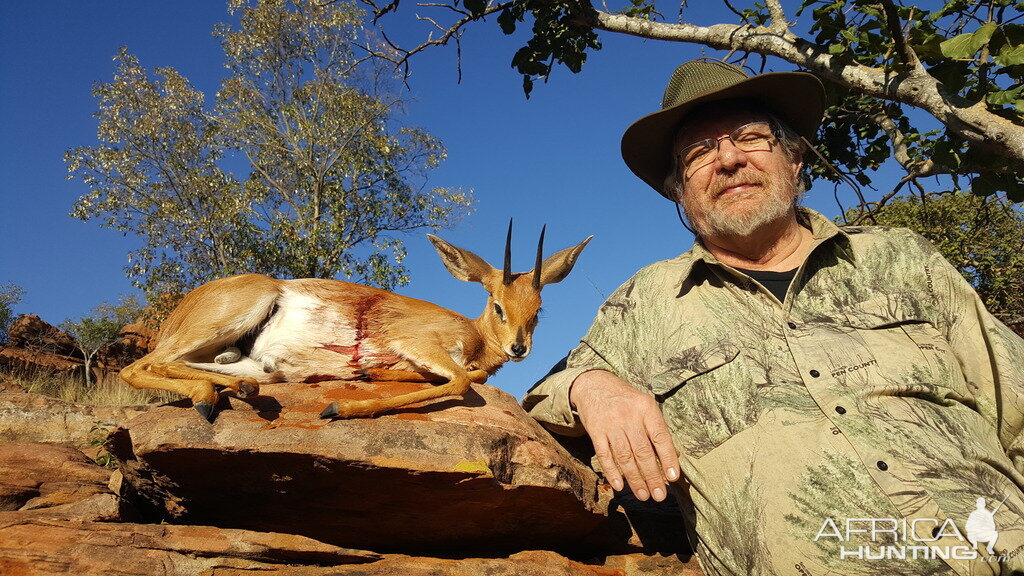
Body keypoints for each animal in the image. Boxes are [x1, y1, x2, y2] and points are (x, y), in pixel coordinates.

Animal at [119, 222, 593, 420]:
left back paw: (238, 389)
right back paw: (206, 398)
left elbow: (459, 377)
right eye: (497, 304)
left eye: (538, 308)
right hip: (236, 314)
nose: (518, 348)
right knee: (140, 365)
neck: (475, 337)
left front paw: (373, 374)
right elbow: (461, 380)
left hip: (258, 365)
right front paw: (339, 407)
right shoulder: (419, 342)